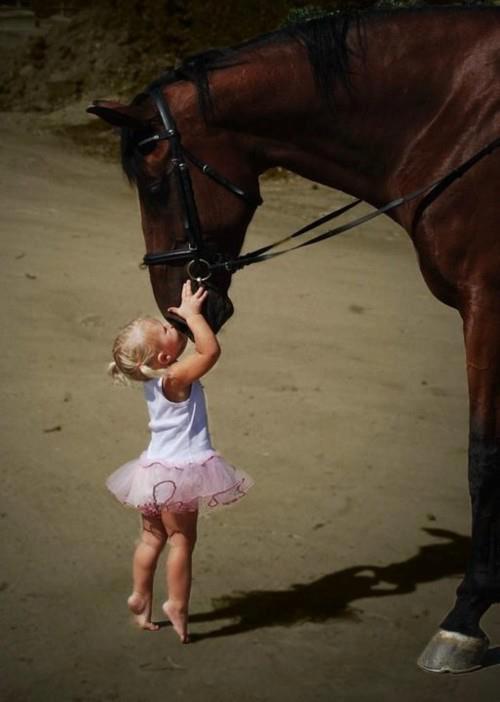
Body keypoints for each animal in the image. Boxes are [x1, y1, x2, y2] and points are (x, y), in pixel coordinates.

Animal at [87, 4, 500, 673]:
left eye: (154, 183)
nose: (174, 310)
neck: (458, 121)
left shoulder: (486, 301)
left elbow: (482, 455)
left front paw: (465, 619)